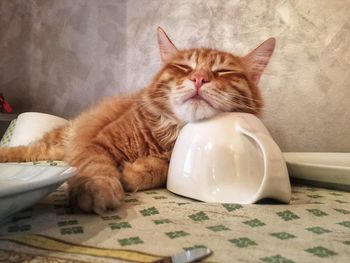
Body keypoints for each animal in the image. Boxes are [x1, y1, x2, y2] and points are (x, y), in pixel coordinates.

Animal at [0, 27, 274, 216]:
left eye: (223, 72)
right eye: (183, 67)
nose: (199, 78)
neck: (167, 135)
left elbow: (160, 169)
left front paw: (135, 172)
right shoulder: (97, 144)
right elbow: (96, 167)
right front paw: (97, 187)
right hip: (57, 141)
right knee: (27, 150)